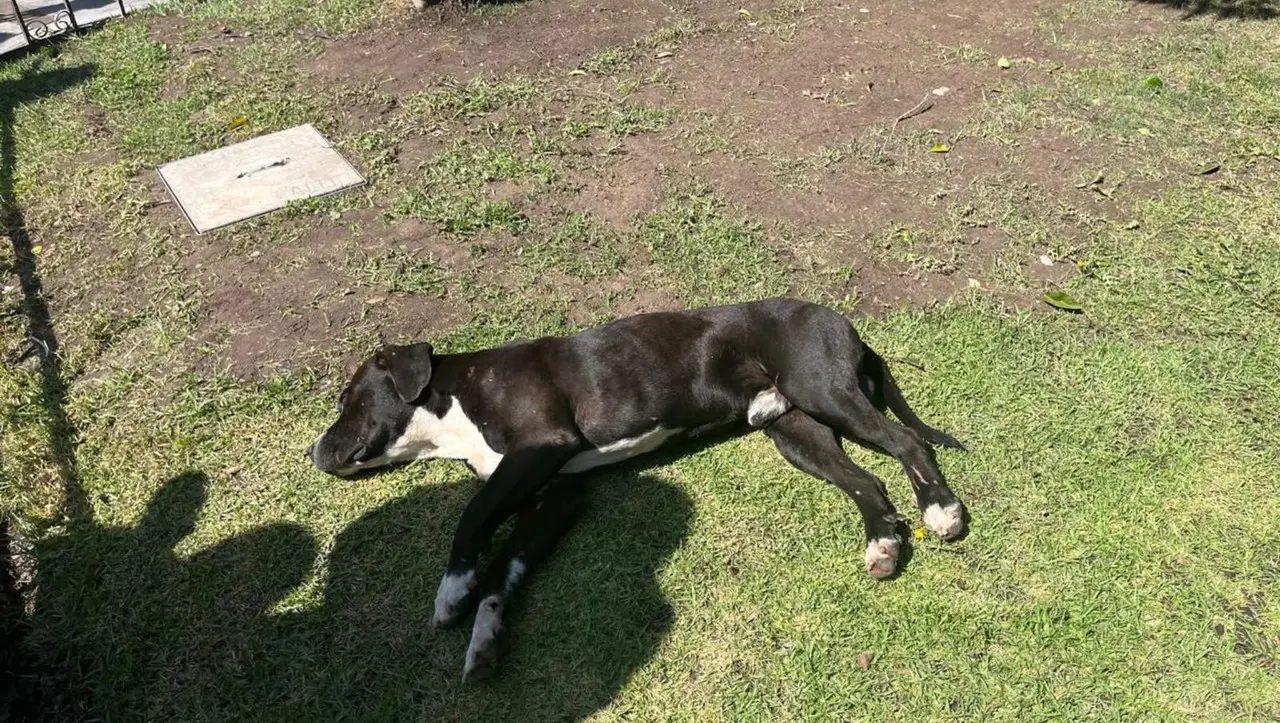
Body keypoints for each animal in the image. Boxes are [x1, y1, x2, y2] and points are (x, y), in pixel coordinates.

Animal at [309, 295, 962, 680]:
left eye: (347, 400)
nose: (314, 452)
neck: (454, 401)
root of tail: (841, 319)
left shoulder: (542, 448)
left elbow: (472, 516)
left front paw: (452, 591)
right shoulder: (554, 495)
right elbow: (505, 569)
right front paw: (486, 638)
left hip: (825, 392)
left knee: (910, 443)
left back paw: (942, 511)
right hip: (795, 430)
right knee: (867, 480)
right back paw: (883, 544)